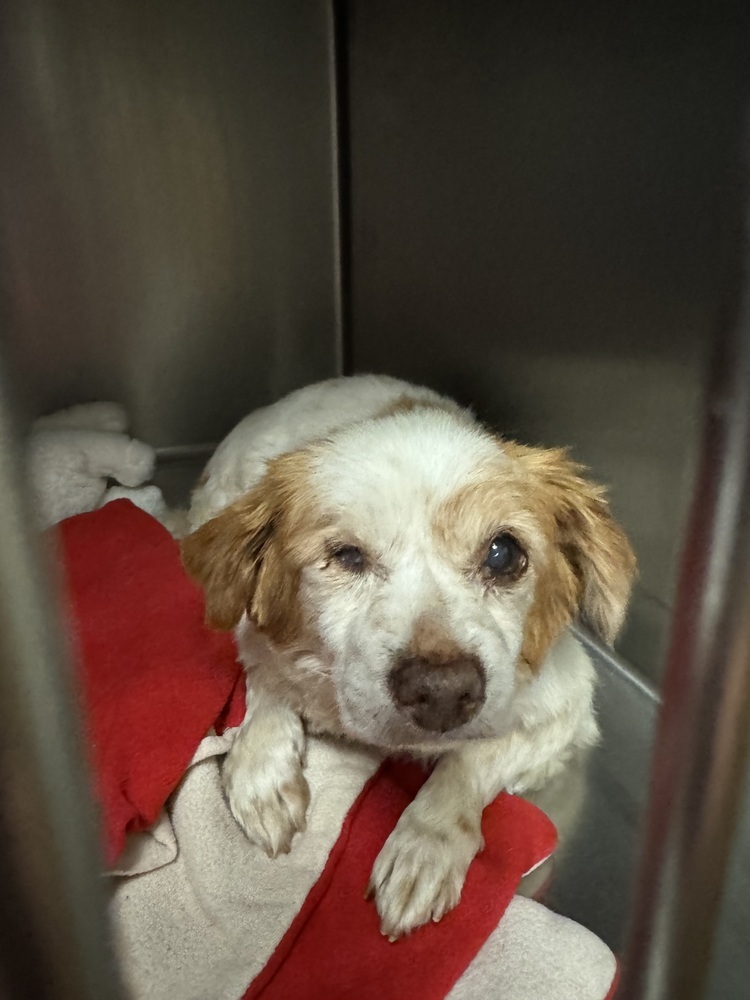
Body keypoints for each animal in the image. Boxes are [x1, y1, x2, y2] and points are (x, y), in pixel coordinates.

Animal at [182, 374, 636, 936]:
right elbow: (266, 681)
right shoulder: (254, 633)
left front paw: (426, 845)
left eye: (503, 553)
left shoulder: (563, 709)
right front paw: (262, 770)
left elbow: (470, 759)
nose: (441, 692)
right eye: (346, 556)